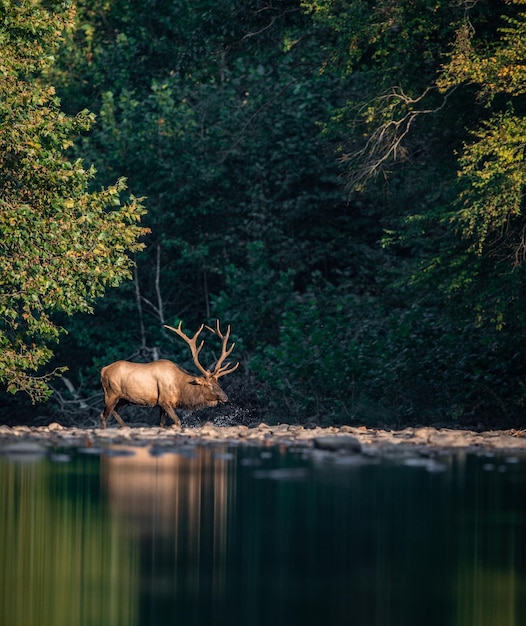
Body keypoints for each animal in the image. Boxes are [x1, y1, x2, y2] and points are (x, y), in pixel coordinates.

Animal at [99, 320, 239, 426]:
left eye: (218, 383)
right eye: (209, 385)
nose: (225, 398)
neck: (180, 389)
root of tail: (103, 370)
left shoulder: (162, 405)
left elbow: (162, 424)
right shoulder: (163, 401)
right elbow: (177, 421)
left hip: (123, 398)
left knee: (113, 412)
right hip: (111, 393)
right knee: (103, 415)